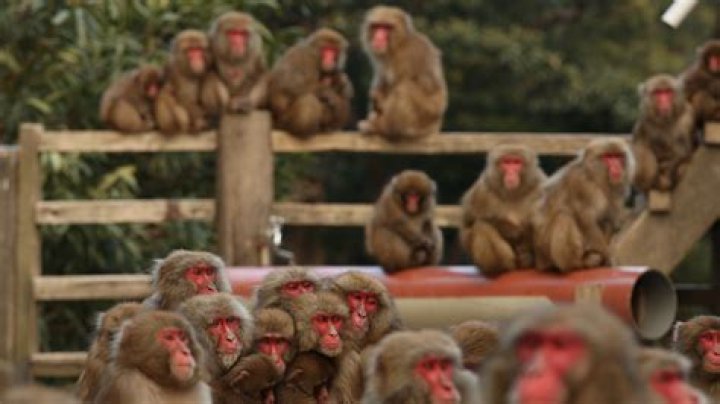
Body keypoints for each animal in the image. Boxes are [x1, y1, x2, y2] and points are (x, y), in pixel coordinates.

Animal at [358, 6, 447, 141]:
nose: (378, 37)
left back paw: (383, 128)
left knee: (404, 88)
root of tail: (436, 127)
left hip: (424, 120)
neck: (399, 44)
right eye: (377, 26)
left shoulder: (406, 58)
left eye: (386, 27)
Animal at [459, 145, 547, 276]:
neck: (513, 194)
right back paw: (498, 267)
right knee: (481, 226)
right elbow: (468, 224)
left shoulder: (541, 185)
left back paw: (527, 258)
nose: (511, 172)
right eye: (506, 162)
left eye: (516, 162)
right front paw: (510, 230)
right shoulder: (482, 189)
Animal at [532, 138, 635, 272]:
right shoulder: (582, 185)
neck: (595, 177)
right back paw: (577, 263)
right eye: (608, 157)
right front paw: (608, 256)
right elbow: (585, 219)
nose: (616, 166)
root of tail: (539, 262)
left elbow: (608, 219)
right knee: (564, 217)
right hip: (546, 253)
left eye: (618, 156)